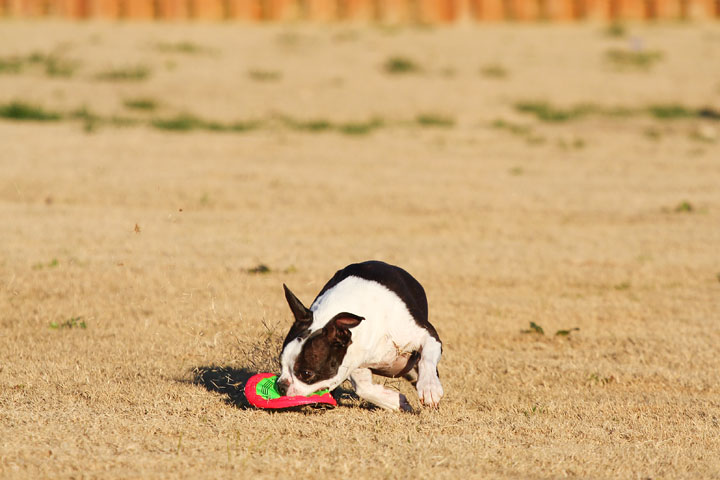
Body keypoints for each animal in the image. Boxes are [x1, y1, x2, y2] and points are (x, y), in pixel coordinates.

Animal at [276, 260, 444, 410]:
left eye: (306, 373)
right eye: (280, 363)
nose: (280, 386)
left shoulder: (428, 336)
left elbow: (426, 359)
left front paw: (429, 388)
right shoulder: (354, 359)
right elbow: (363, 388)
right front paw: (396, 402)